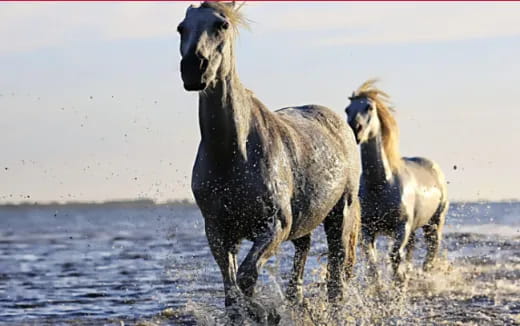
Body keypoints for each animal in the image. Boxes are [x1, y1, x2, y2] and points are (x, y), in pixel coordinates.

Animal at [177, 1, 360, 324]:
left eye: (222, 25)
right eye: (181, 28)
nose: (193, 68)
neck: (233, 154)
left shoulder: (275, 225)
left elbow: (246, 277)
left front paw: (264, 312)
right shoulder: (218, 231)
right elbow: (232, 290)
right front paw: (256, 312)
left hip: (341, 215)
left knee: (336, 277)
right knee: (303, 252)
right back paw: (296, 300)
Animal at [346, 80, 446, 284]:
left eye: (369, 107)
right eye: (347, 110)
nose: (355, 129)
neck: (381, 184)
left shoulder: (401, 227)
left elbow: (394, 257)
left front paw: (398, 283)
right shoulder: (367, 229)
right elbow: (372, 263)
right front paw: (380, 288)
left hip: (434, 223)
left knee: (431, 251)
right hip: (416, 228)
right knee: (411, 250)